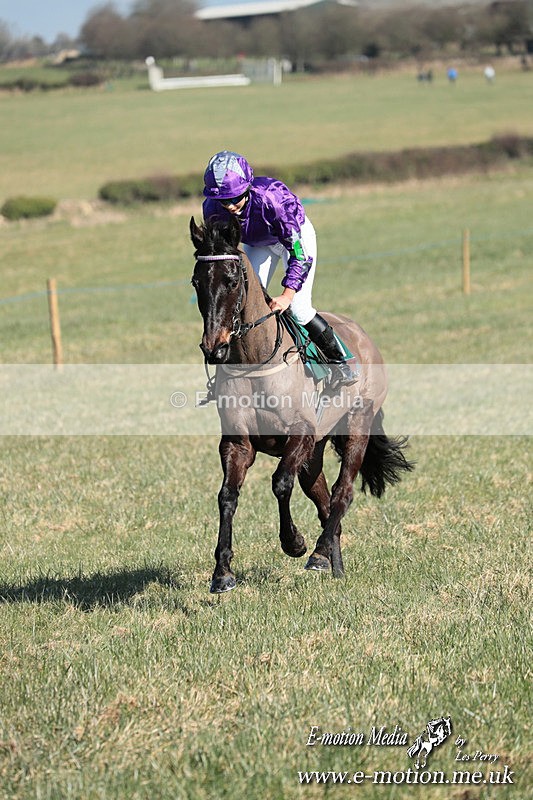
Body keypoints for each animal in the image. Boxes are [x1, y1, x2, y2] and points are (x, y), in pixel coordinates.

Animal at [190, 215, 414, 593]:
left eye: (231, 280)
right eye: (196, 281)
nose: (214, 347)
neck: (255, 360)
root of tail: (363, 336)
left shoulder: (302, 434)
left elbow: (280, 482)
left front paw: (293, 542)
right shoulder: (237, 443)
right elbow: (227, 496)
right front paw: (222, 572)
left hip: (356, 427)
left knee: (341, 493)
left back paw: (319, 555)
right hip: (315, 454)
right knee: (323, 501)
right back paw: (334, 566)